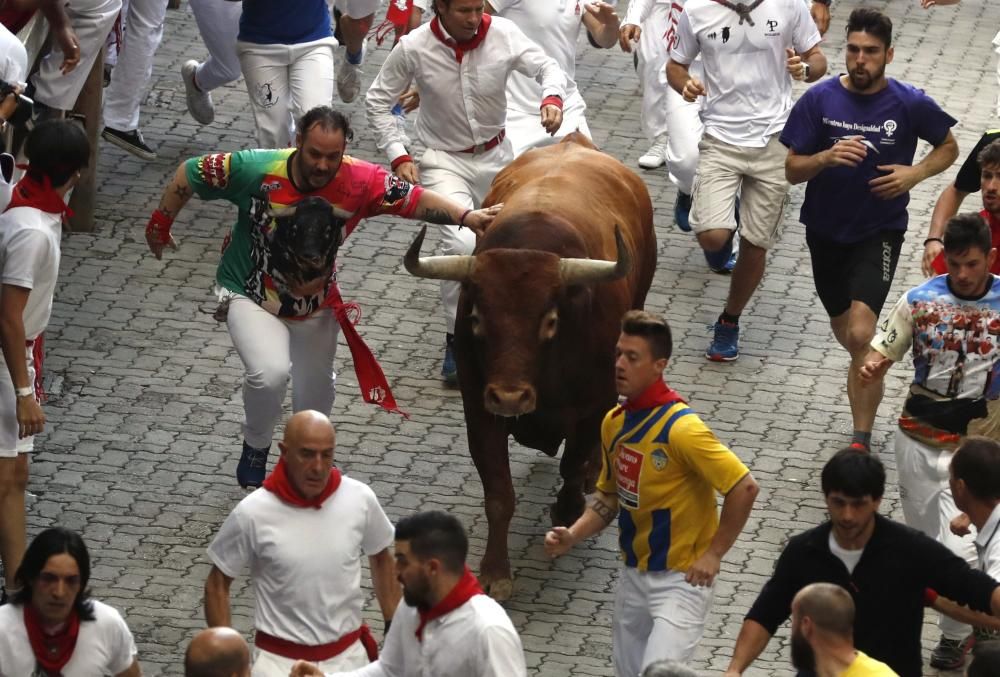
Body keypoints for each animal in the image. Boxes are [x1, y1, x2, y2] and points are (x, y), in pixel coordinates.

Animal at [406, 135, 656, 600]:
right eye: (476, 319)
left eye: (550, 321)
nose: (510, 396)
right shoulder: (479, 409)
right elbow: (498, 494)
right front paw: (495, 570)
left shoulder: (592, 405)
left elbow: (573, 467)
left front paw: (568, 509)